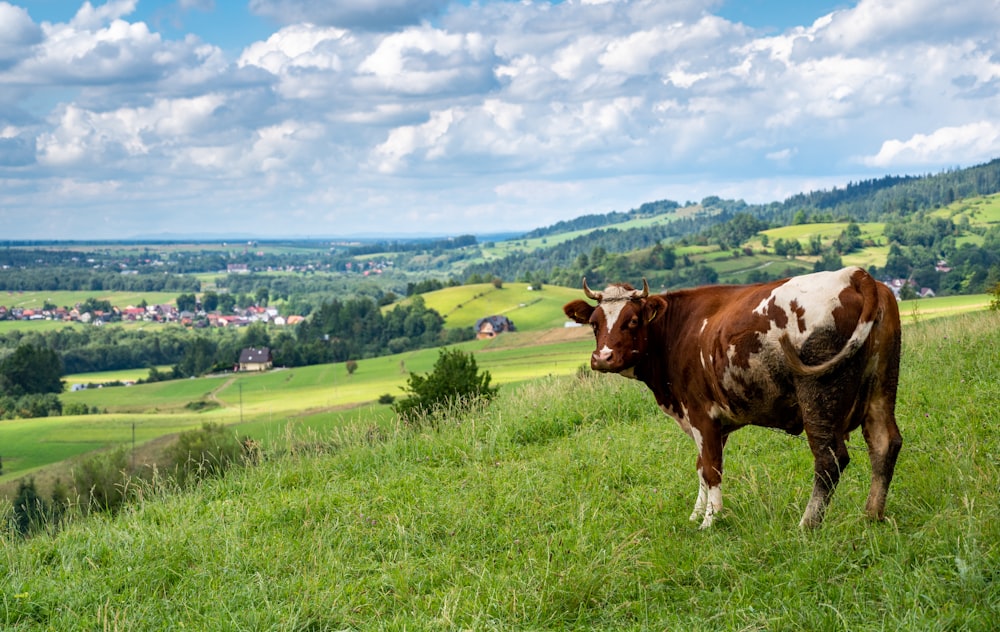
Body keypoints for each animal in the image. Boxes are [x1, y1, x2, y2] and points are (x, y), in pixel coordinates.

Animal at [564, 266, 908, 528]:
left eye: (632, 320)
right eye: (594, 324)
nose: (603, 357)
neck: (677, 331)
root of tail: (853, 274)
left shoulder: (701, 413)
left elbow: (711, 467)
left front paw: (710, 522)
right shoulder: (712, 422)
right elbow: (702, 466)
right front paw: (696, 515)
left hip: (819, 395)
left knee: (830, 458)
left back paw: (807, 524)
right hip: (882, 386)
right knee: (884, 443)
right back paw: (871, 515)